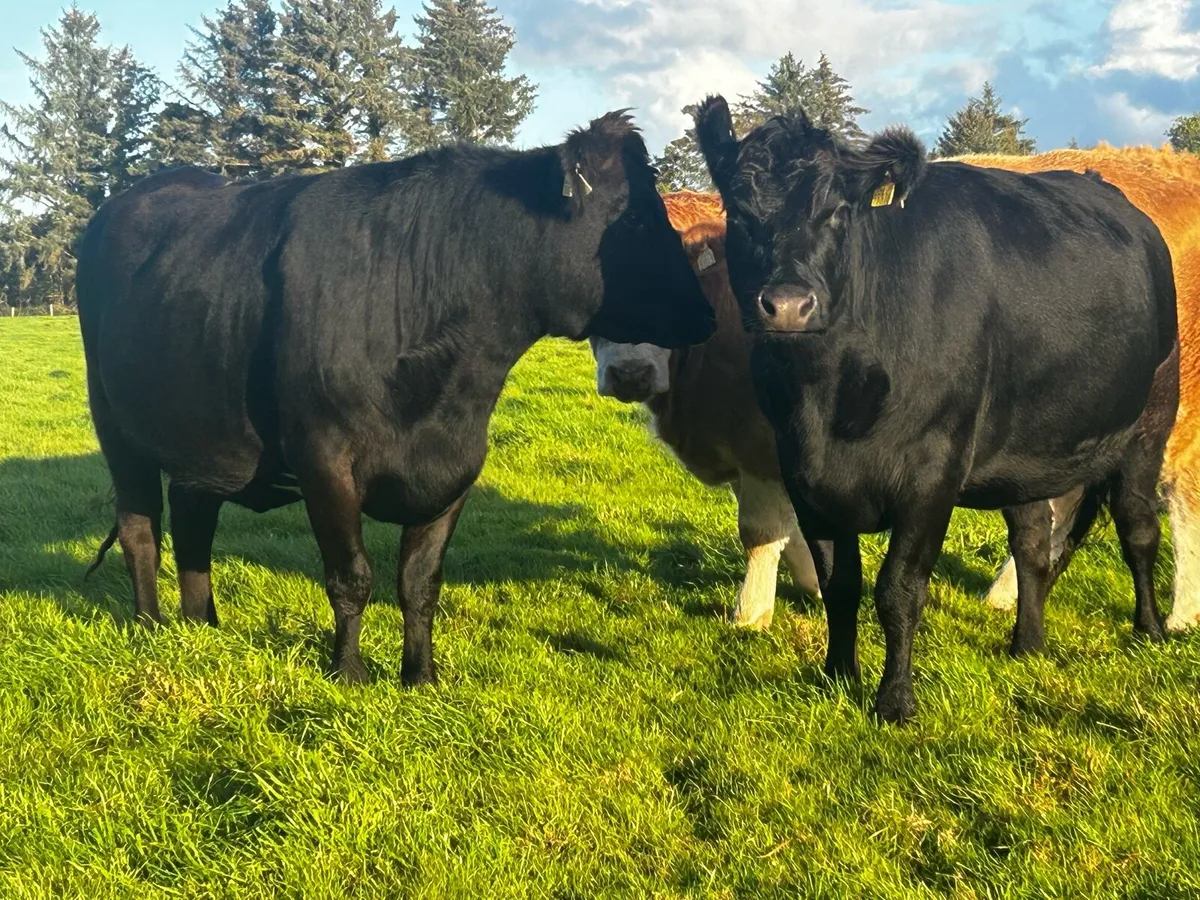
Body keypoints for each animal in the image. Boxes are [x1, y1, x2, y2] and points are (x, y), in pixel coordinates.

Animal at [76, 110, 715, 686]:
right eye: (637, 219)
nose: (706, 314)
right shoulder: (323, 458)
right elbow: (351, 577)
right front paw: (349, 674)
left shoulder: (458, 465)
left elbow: (420, 582)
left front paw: (421, 676)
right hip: (112, 420)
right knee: (141, 528)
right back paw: (150, 626)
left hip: (200, 432)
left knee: (192, 519)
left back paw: (201, 628)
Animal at [591, 216, 820, 629]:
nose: (631, 374)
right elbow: (792, 530)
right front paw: (817, 584)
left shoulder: (761, 448)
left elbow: (761, 531)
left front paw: (751, 614)